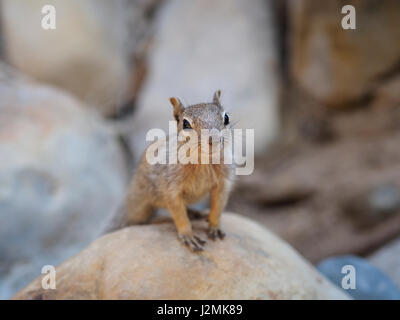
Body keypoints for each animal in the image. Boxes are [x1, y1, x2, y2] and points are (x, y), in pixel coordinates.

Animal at [103, 90, 234, 252]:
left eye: (226, 118)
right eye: (185, 124)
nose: (213, 140)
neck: (203, 161)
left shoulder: (223, 183)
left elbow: (218, 206)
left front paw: (214, 226)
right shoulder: (171, 186)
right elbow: (178, 212)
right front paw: (188, 234)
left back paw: (196, 214)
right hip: (139, 206)